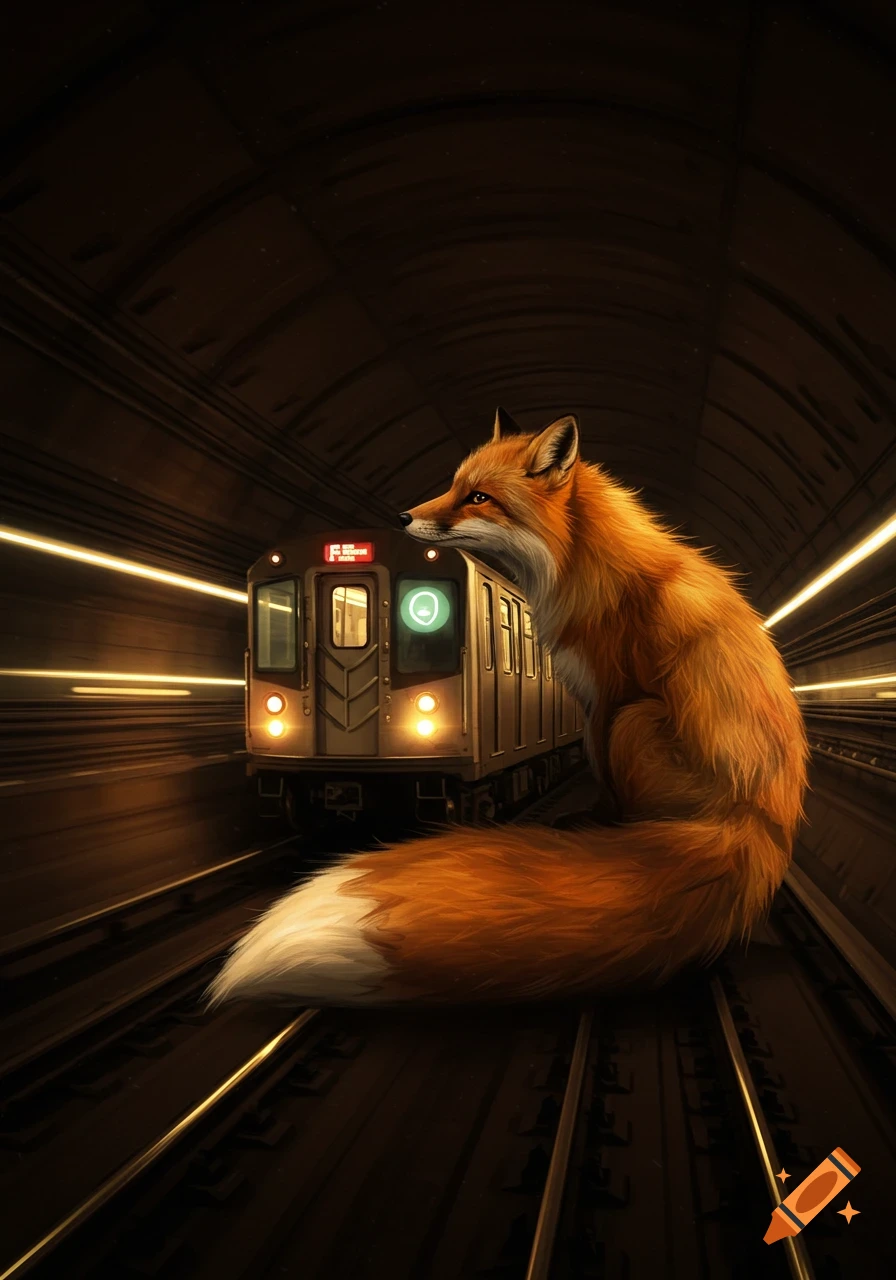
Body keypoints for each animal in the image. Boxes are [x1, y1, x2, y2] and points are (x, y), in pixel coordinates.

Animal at [209, 408, 808, 1008]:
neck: (578, 558)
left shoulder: (606, 695)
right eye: (453, 484)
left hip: (635, 721)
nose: (402, 516)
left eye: (478, 497)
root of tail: (756, 825)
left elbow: (602, 777)